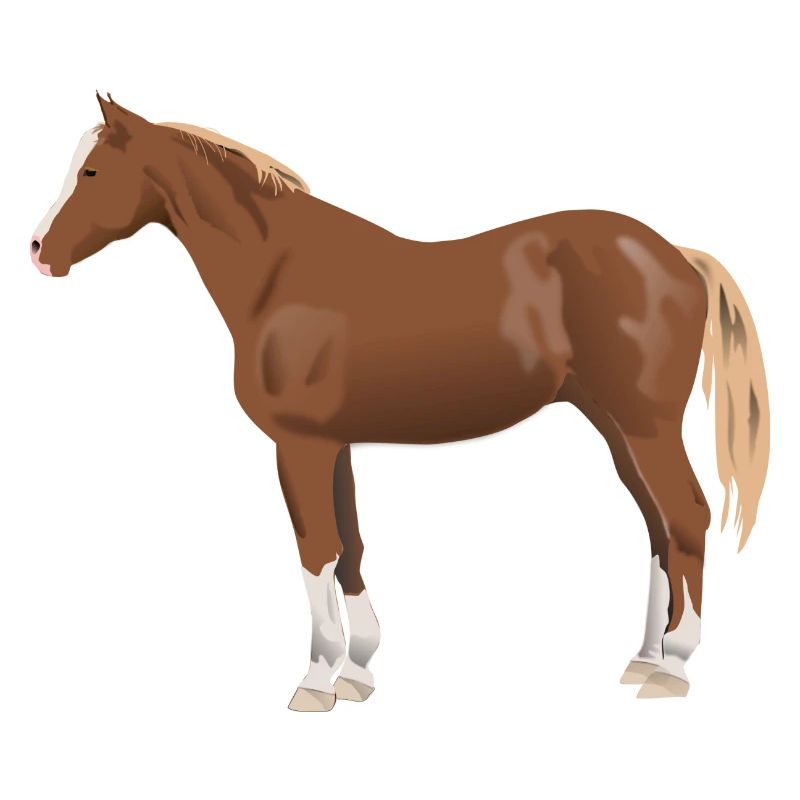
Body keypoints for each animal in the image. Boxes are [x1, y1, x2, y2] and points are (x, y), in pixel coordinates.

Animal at [30, 93, 769, 710]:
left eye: (92, 171)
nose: (37, 251)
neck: (279, 275)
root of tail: (678, 256)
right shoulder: (335, 444)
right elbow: (351, 545)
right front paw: (357, 671)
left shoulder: (299, 444)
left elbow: (316, 549)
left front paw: (314, 680)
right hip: (615, 426)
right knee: (658, 527)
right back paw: (644, 658)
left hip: (644, 425)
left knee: (687, 517)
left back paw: (674, 668)